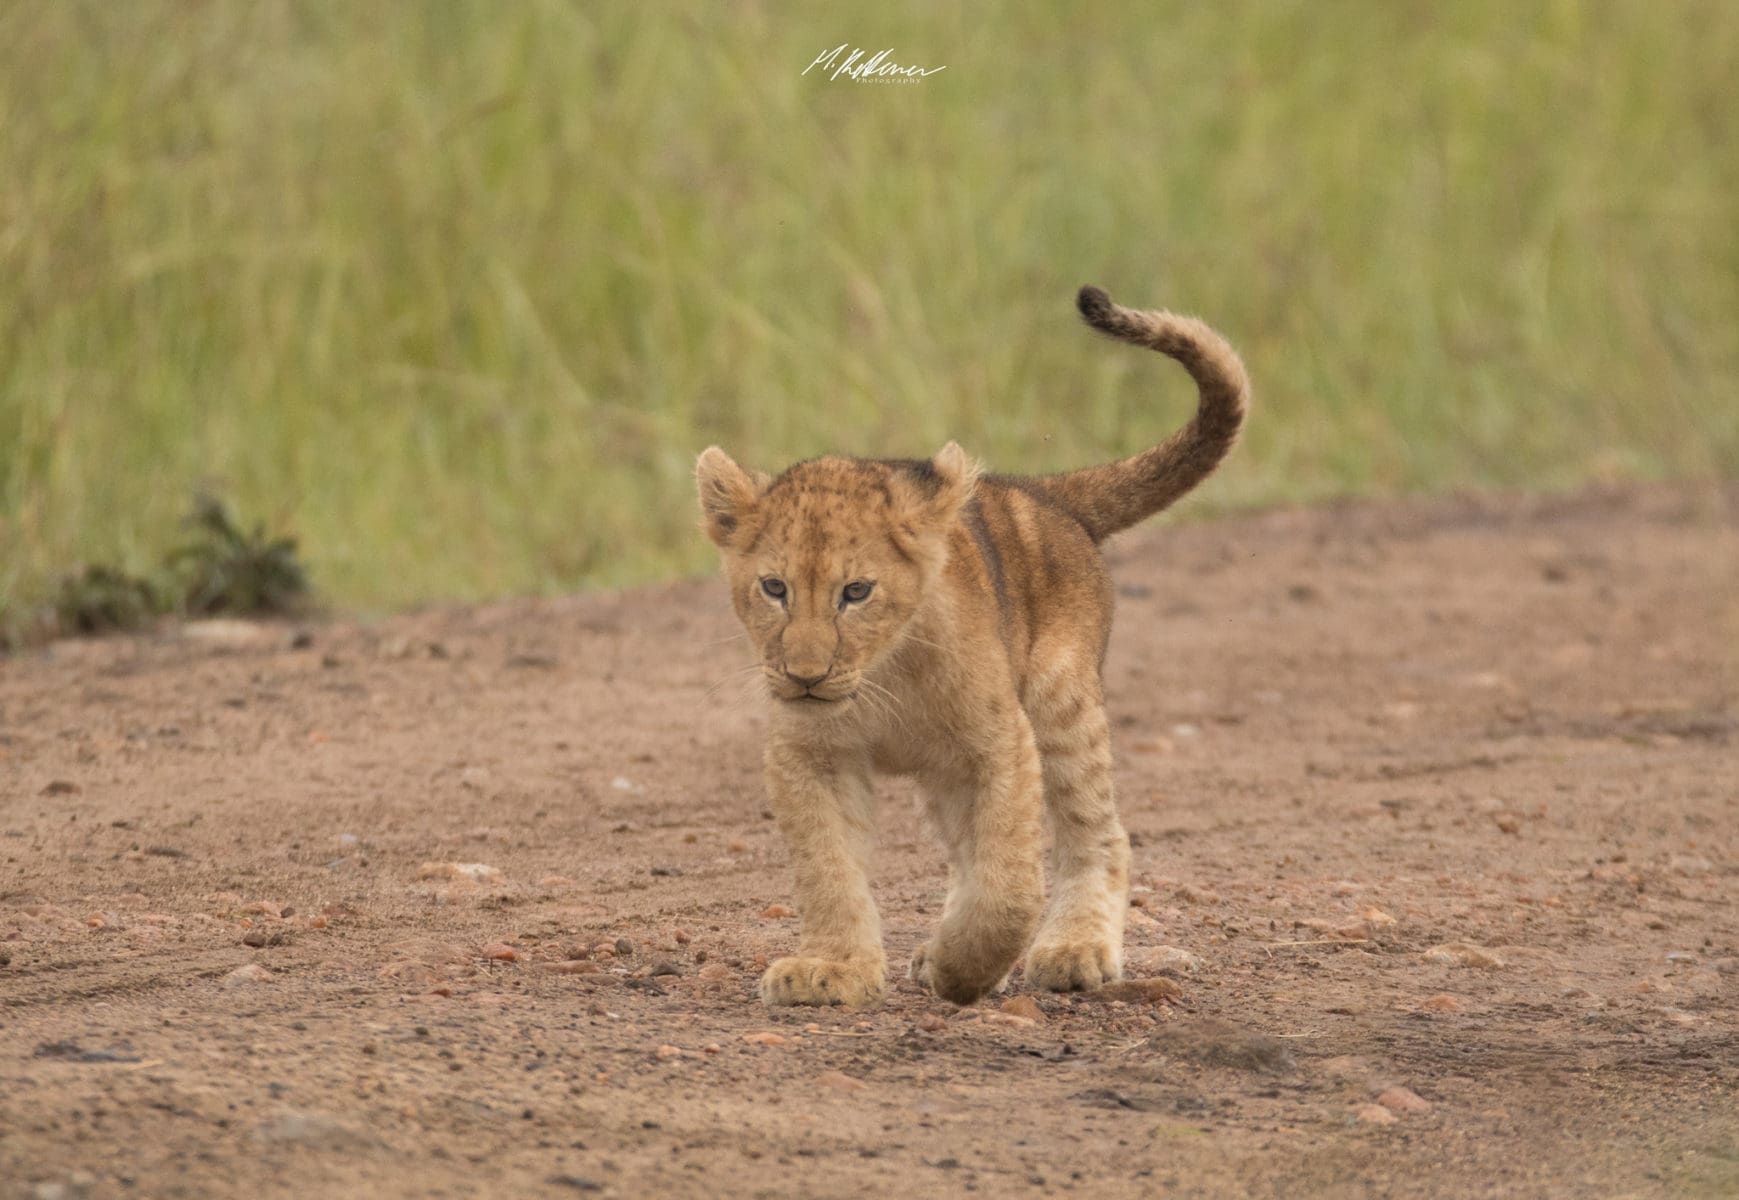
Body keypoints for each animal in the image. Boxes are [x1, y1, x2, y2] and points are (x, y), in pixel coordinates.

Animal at [696, 286, 1249, 1007]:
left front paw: (964, 968)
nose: (805, 676)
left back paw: (1073, 948)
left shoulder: (999, 742)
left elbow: (1008, 881)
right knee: (965, 851)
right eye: (773, 588)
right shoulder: (810, 753)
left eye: (856, 591)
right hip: (947, 768)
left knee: (1097, 835)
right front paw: (831, 967)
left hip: (1060, 701)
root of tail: (1040, 493)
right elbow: (828, 868)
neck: (883, 676)